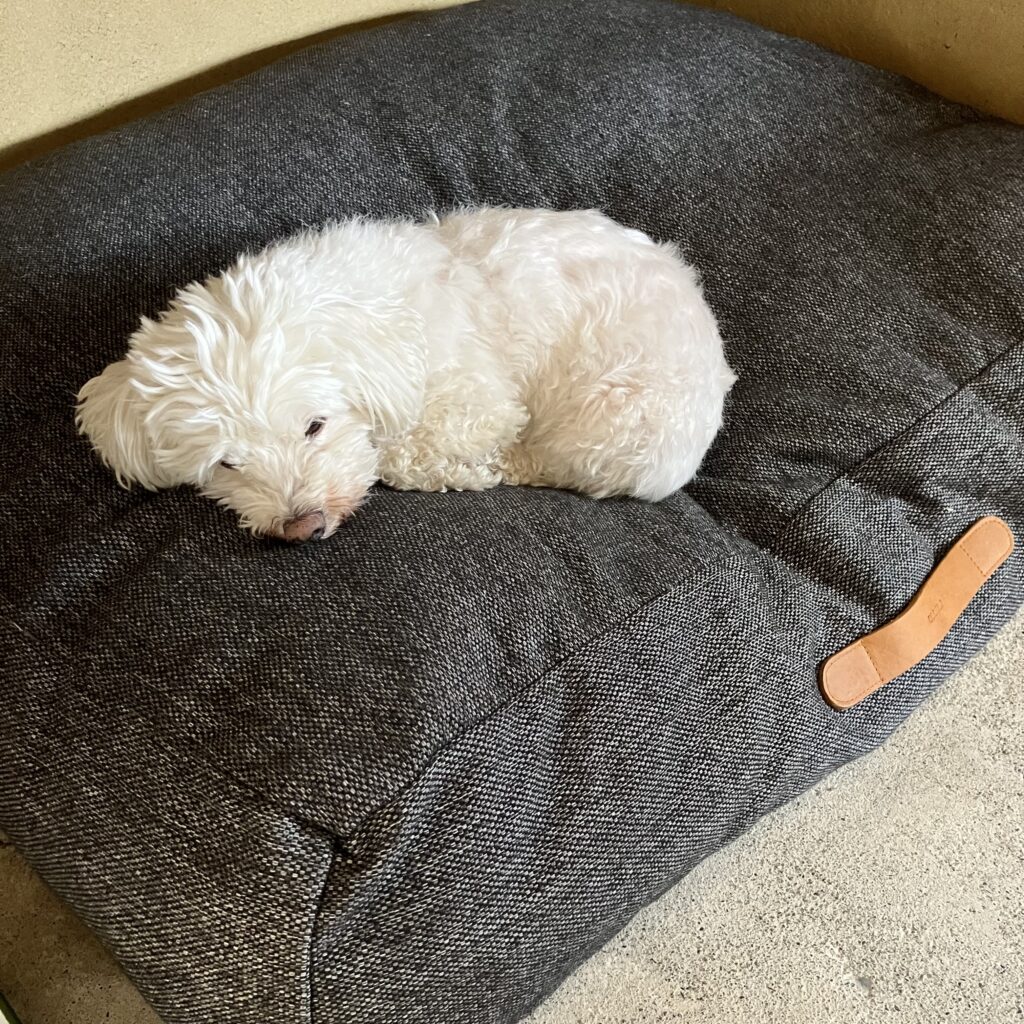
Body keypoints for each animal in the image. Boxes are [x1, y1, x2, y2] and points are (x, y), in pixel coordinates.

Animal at [77, 208, 735, 541]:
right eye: (226, 464)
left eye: (314, 426)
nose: (302, 528)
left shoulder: (477, 404)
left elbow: (400, 454)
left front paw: (446, 466)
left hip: (609, 418)